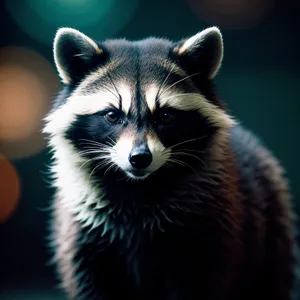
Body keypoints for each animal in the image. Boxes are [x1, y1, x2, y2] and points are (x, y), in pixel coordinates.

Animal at [43, 27, 298, 298]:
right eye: (112, 115)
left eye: (165, 116)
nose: (139, 158)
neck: (139, 186)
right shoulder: (83, 230)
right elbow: (90, 284)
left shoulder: (210, 229)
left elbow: (202, 280)